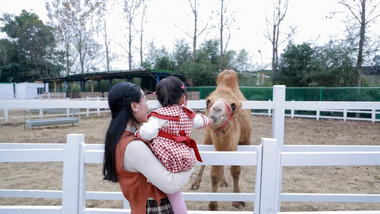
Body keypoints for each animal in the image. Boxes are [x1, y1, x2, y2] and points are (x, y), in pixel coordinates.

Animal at [190, 70, 252, 211]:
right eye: (207, 102)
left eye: (233, 106)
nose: (216, 110)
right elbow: (214, 174)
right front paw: (213, 205)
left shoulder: (243, 142)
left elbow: (235, 171)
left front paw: (238, 201)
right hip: (207, 137)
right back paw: (196, 183)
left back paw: (224, 182)